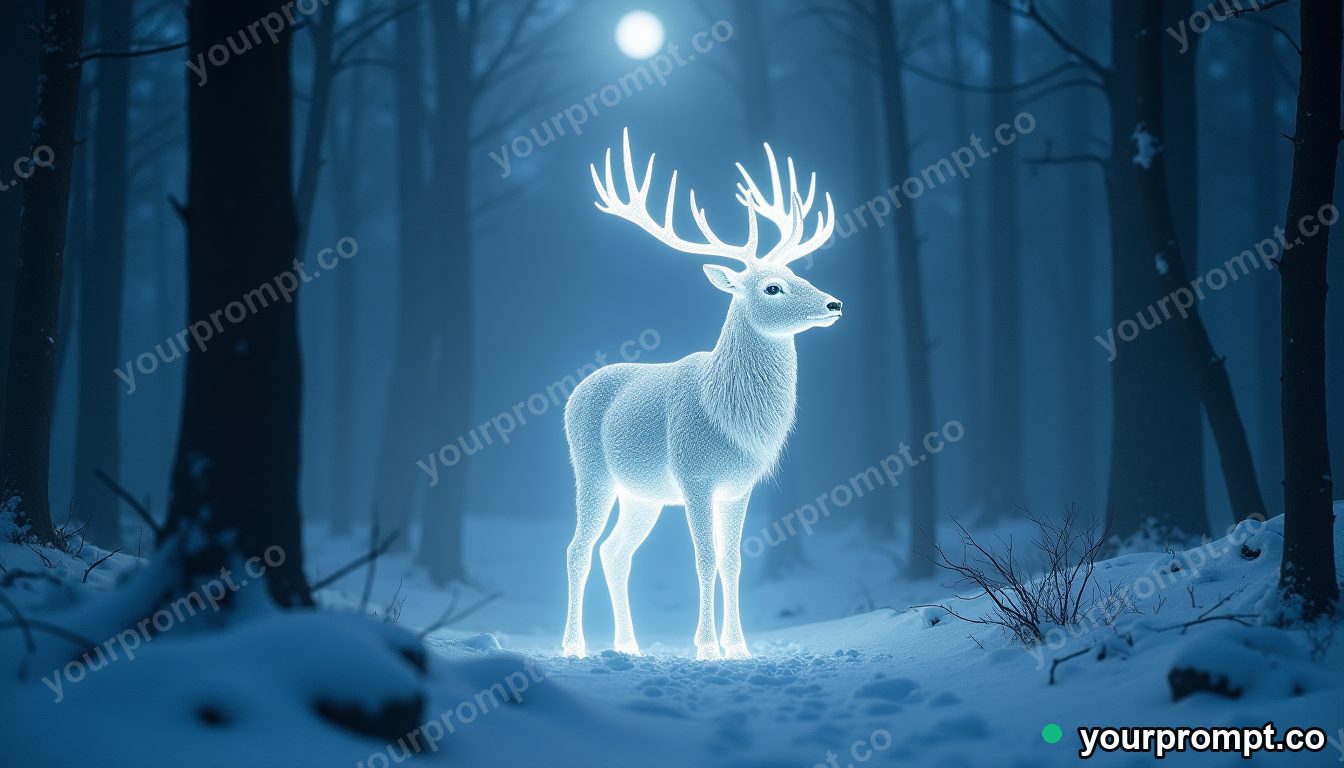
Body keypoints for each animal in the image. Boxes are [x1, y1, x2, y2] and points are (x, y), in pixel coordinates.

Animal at [562, 129, 840, 660]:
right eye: (772, 287)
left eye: (800, 275)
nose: (836, 303)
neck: (727, 414)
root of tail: (574, 392)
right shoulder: (694, 476)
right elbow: (705, 559)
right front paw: (707, 647)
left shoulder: (739, 486)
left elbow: (733, 561)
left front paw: (739, 647)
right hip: (591, 470)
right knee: (579, 549)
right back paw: (573, 645)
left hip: (642, 493)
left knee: (615, 552)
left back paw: (628, 645)